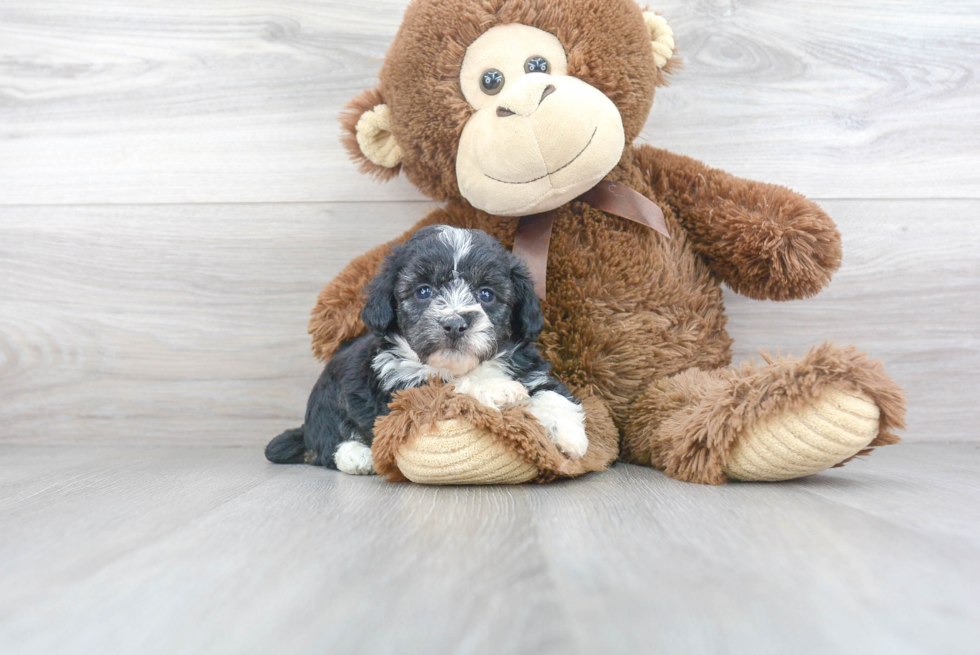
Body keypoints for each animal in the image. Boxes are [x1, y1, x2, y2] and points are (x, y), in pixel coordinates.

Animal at [262, 224, 588, 472]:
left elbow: (551, 392)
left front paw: (570, 433)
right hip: (326, 401)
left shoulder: (529, 367)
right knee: (327, 443)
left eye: (486, 294)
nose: (455, 324)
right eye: (424, 291)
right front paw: (496, 388)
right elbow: (448, 386)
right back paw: (357, 456)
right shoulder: (402, 390)